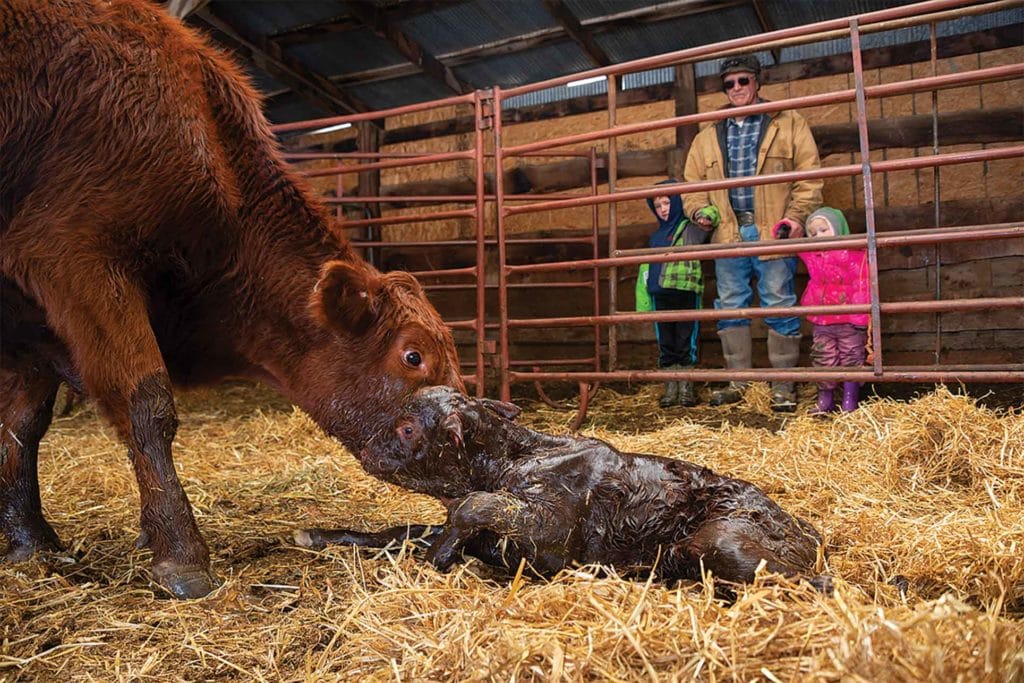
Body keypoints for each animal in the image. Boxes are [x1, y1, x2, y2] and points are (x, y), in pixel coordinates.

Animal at [0, 0, 464, 598]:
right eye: (413, 355)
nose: (473, 437)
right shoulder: (74, 259)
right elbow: (145, 404)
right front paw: (181, 553)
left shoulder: (31, 325)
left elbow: (21, 427)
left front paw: (31, 542)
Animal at [299, 387, 831, 589]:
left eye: (408, 428)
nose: (365, 449)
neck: (512, 459)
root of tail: (807, 529)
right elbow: (400, 530)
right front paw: (319, 535)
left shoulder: (552, 537)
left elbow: (475, 506)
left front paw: (438, 559)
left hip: (722, 540)